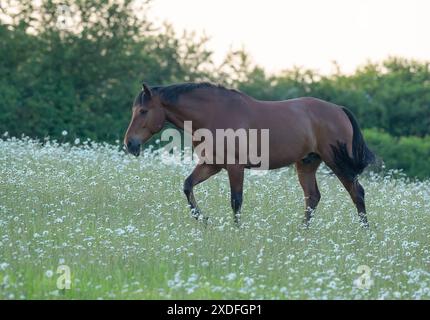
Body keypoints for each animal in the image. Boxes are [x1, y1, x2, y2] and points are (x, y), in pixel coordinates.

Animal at [122, 82, 374, 228]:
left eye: (143, 111)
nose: (130, 144)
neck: (213, 114)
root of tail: (339, 110)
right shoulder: (211, 165)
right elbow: (187, 186)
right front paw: (203, 219)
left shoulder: (235, 167)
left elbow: (236, 201)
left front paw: (236, 231)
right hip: (306, 163)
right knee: (312, 197)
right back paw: (302, 233)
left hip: (337, 163)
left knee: (357, 193)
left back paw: (365, 233)